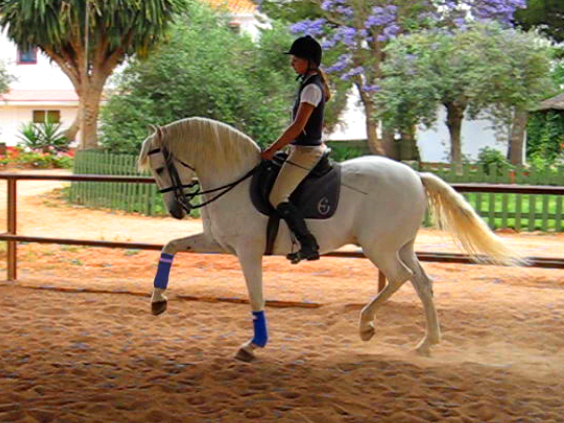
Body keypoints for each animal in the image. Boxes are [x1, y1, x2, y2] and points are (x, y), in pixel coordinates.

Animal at [138, 117, 524, 362]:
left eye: (159, 168)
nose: (176, 209)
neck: (235, 180)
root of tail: (415, 175)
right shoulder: (217, 242)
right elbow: (170, 247)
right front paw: (158, 302)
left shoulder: (247, 252)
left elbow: (256, 297)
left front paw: (253, 345)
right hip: (401, 247)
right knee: (422, 284)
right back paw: (426, 344)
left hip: (380, 248)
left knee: (400, 279)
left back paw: (367, 325)